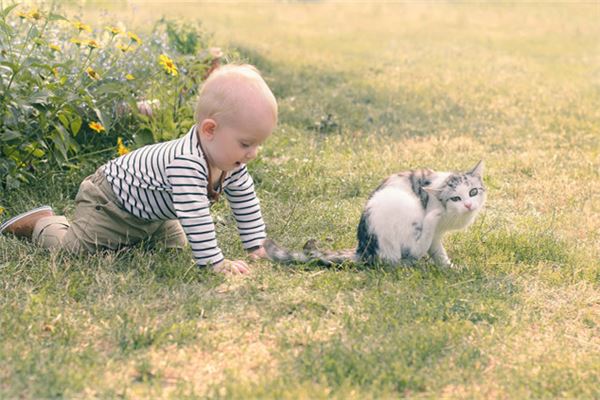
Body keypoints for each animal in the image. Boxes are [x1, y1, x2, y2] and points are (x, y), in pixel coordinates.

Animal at [264, 160, 486, 268]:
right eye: (455, 198)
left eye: (473, 192)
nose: (468, 205)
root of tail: (364, 250)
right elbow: (432, 248)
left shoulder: (437, 237)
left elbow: (438, 252)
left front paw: (448, 267)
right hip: (405, 207)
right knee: (410, 252)